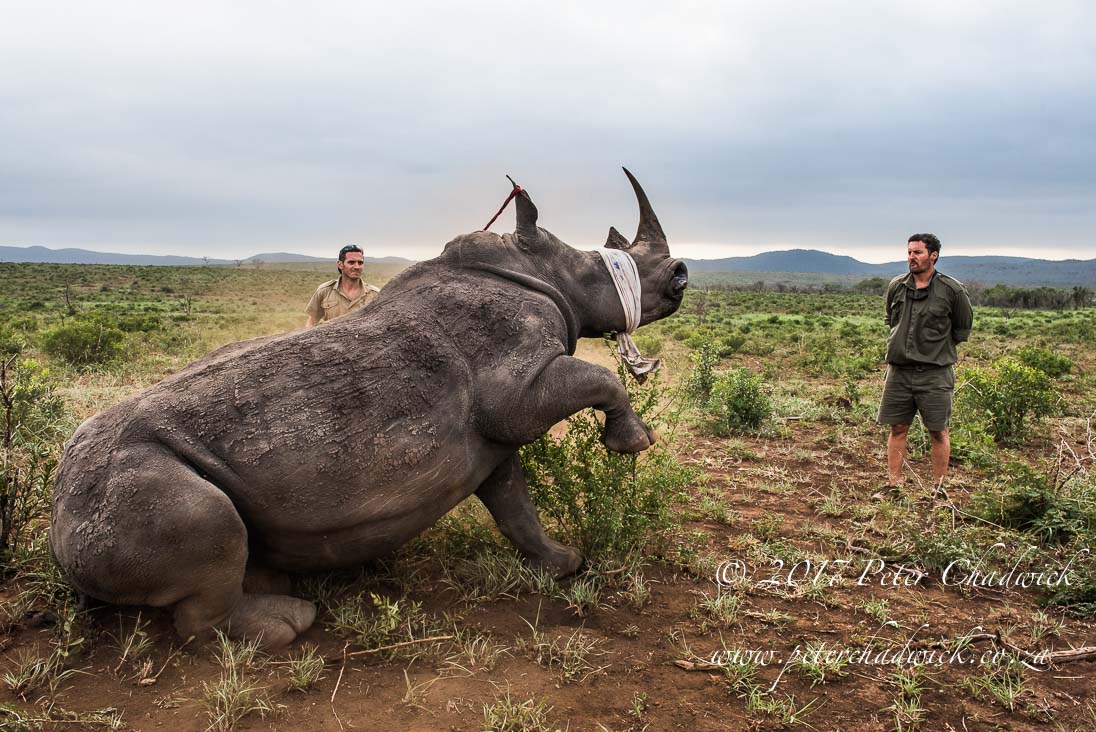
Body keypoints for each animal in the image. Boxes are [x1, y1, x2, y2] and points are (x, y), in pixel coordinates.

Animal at [50, 169, 688, 646]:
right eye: (598, 267)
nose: (681, 276)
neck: (540, 271)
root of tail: (57, 524)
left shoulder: (493, 440)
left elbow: (515, 504)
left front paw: (564, 564)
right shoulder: (518, 388)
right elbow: (595, 380)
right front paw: (633, 443)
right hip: (136, 484)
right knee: (211, 532)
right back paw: (292, 622)